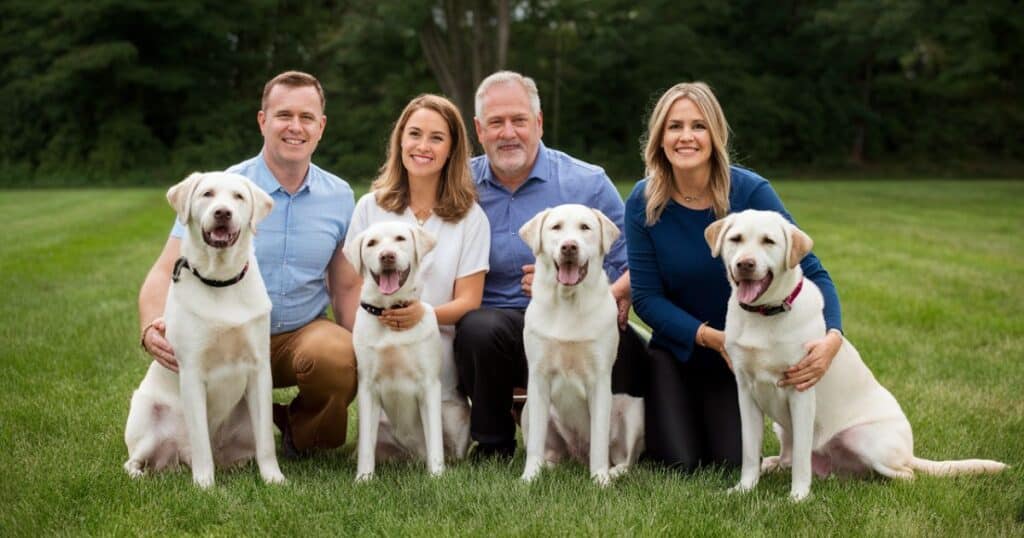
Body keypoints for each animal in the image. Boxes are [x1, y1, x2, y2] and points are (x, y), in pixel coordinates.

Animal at [123, 171, 284, 485]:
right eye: (207, 194)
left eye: (238, 197)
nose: (222, 213)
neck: (220, 279)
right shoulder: (191, 372)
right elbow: (201, 443)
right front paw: (205, 486)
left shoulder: (259, 369)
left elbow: (267, 445)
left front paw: (274, 479)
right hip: (145, 412)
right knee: (133, 460)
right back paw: (140, 477)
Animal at [344, 220, 444, 479]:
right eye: (371, 243)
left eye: (400, 239)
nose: (387, 256)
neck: (390, 310)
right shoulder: (367, 387)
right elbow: (366, 446)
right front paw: (364, 478)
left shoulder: (429, 385)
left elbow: (435, 440)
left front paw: (437, 477)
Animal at [520, 202, 638, 485]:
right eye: (556, 227)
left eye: (585, 227)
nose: (569, 247)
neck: (568, 301)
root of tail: (577, 456)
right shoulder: (538, 377)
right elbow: (535, 443)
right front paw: (529, 478)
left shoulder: (600, 379)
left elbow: (599, 440)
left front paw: (600, 480)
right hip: (527, 409)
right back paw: (547, 467)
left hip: (635, 412)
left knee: (625, 459)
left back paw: (613, 472)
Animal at [704, 209, 1007, 500]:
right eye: (736, 239)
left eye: (768, 241)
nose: (745, 264)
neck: (763, 315)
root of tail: (910, 453)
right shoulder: (746, 392)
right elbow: (749, 451)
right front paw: (744, 489)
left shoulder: (801, 391)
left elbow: (801, 458)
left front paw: (798, 498)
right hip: (783, 428)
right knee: (788, 457)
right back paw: (775, 465)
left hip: (863, 438)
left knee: (906, 475)